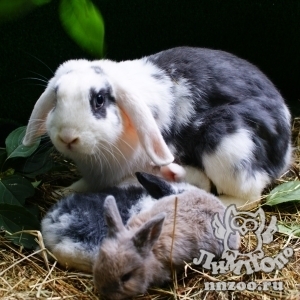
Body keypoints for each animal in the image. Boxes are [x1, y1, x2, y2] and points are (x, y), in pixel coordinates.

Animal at [22, 47, 290, 206]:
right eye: (56, 98)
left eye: (99, 100)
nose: (68, 137)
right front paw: (64, 191)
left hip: (228, 147)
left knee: (249, 195)